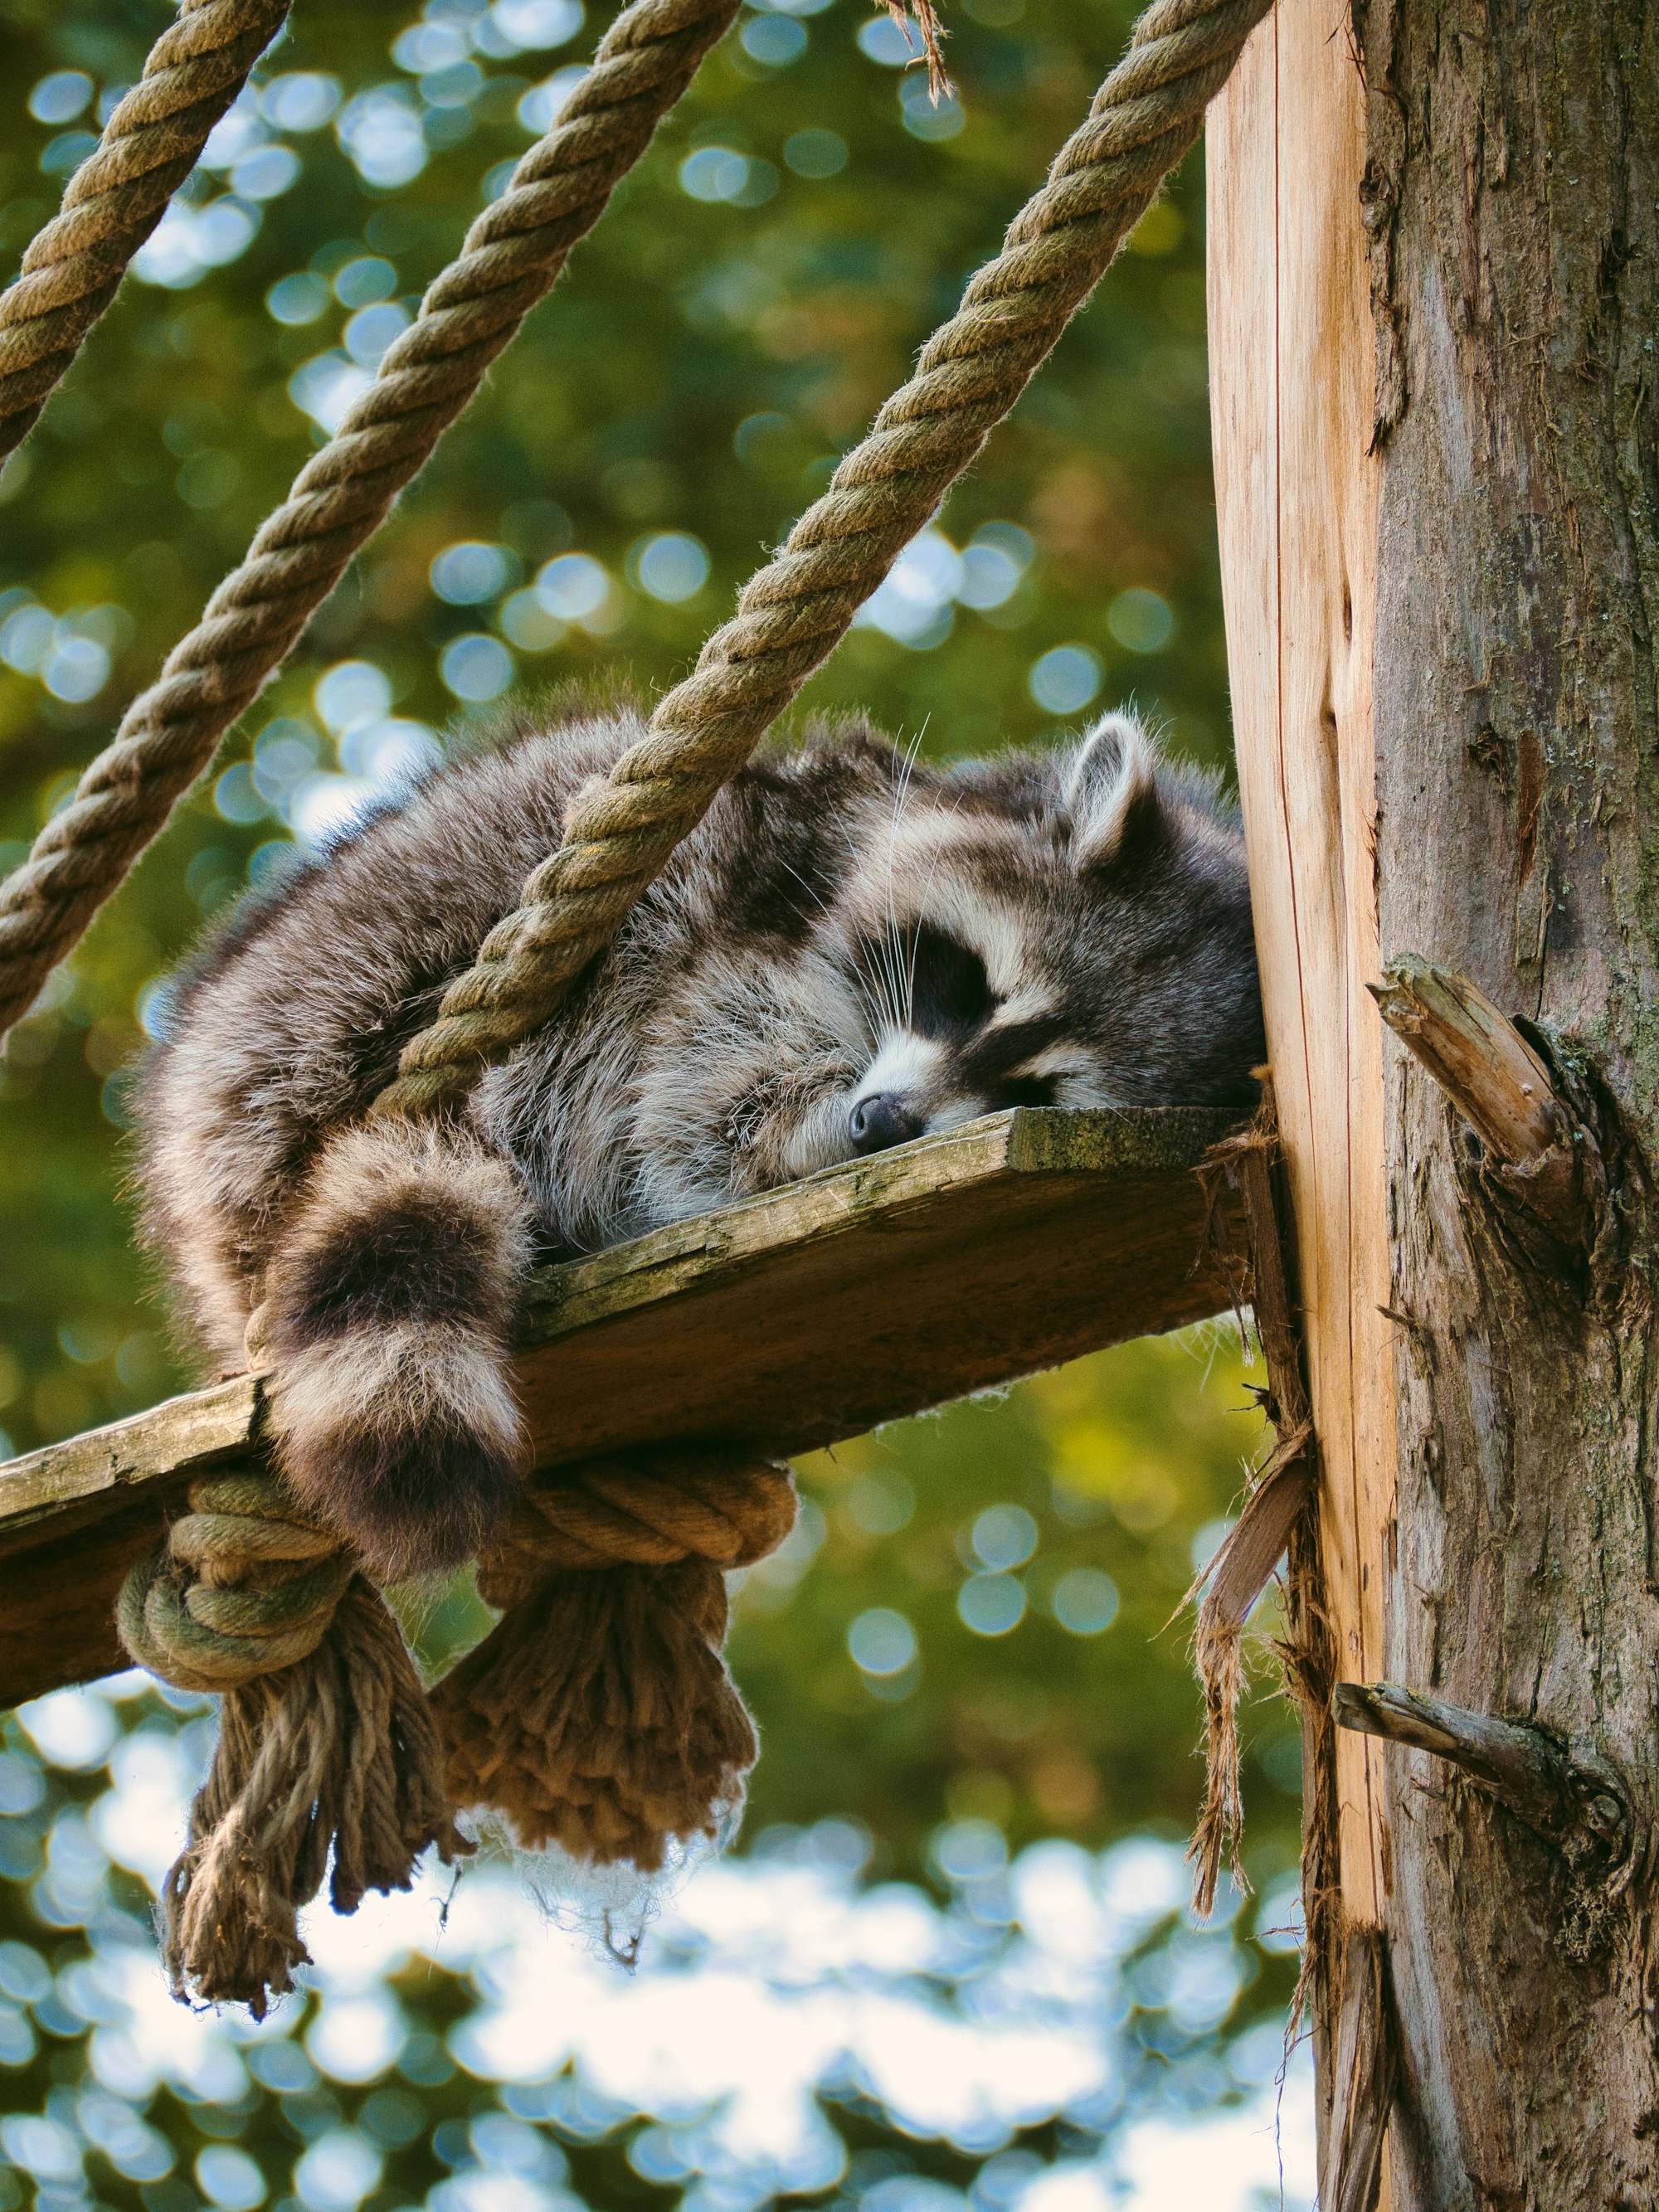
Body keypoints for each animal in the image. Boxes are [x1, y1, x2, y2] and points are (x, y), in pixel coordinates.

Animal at [136, 698, 1265, 1583]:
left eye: (1027, 1088)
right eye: (970, 988)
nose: (881, 1121)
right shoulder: (773, 874)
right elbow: (698, 1064)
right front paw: (800, 1121)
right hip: (338, 985)